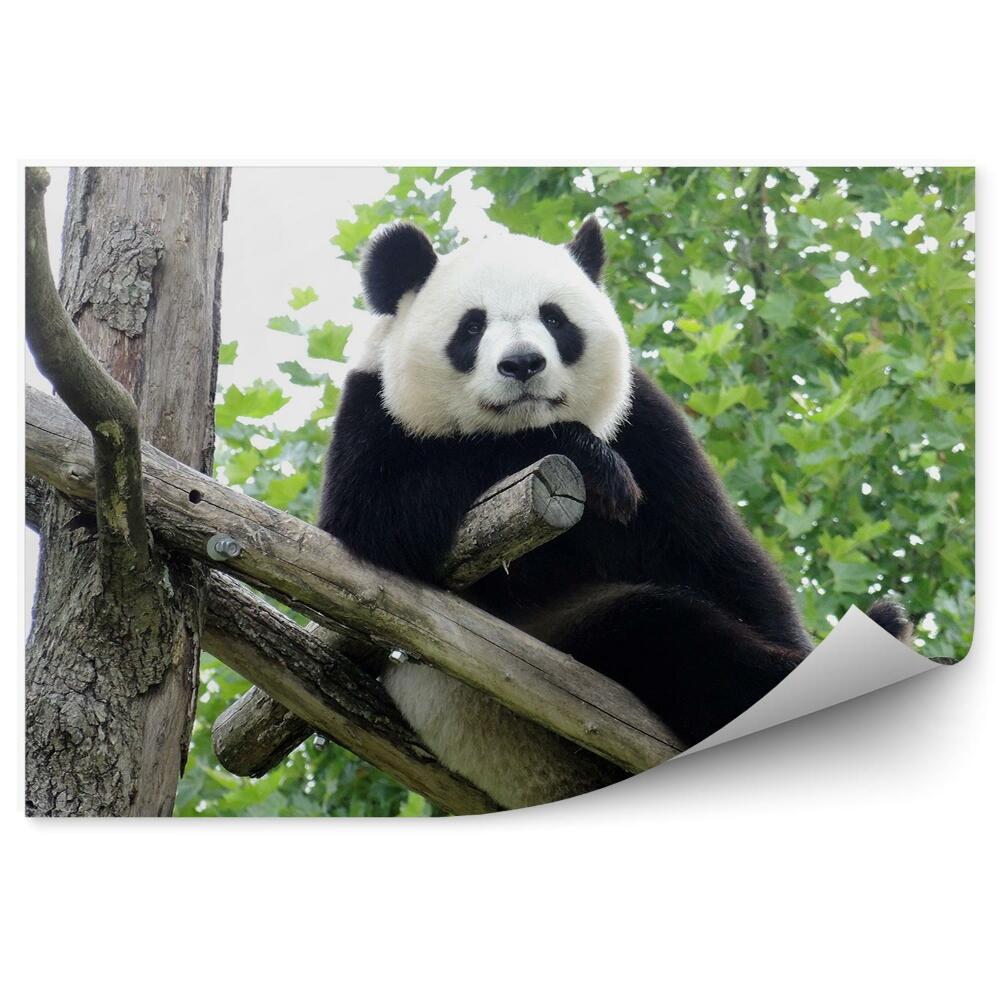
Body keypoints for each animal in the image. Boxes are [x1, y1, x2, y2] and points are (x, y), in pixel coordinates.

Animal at [318, 216, 912, 810]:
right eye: (471, 327)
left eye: (554, 319)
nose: (522, 364)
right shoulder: (375, 409)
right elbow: (373, 517)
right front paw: (590, 461)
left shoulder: (646, 426)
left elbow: (715, 553)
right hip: (528, 673)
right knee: (665, 634)